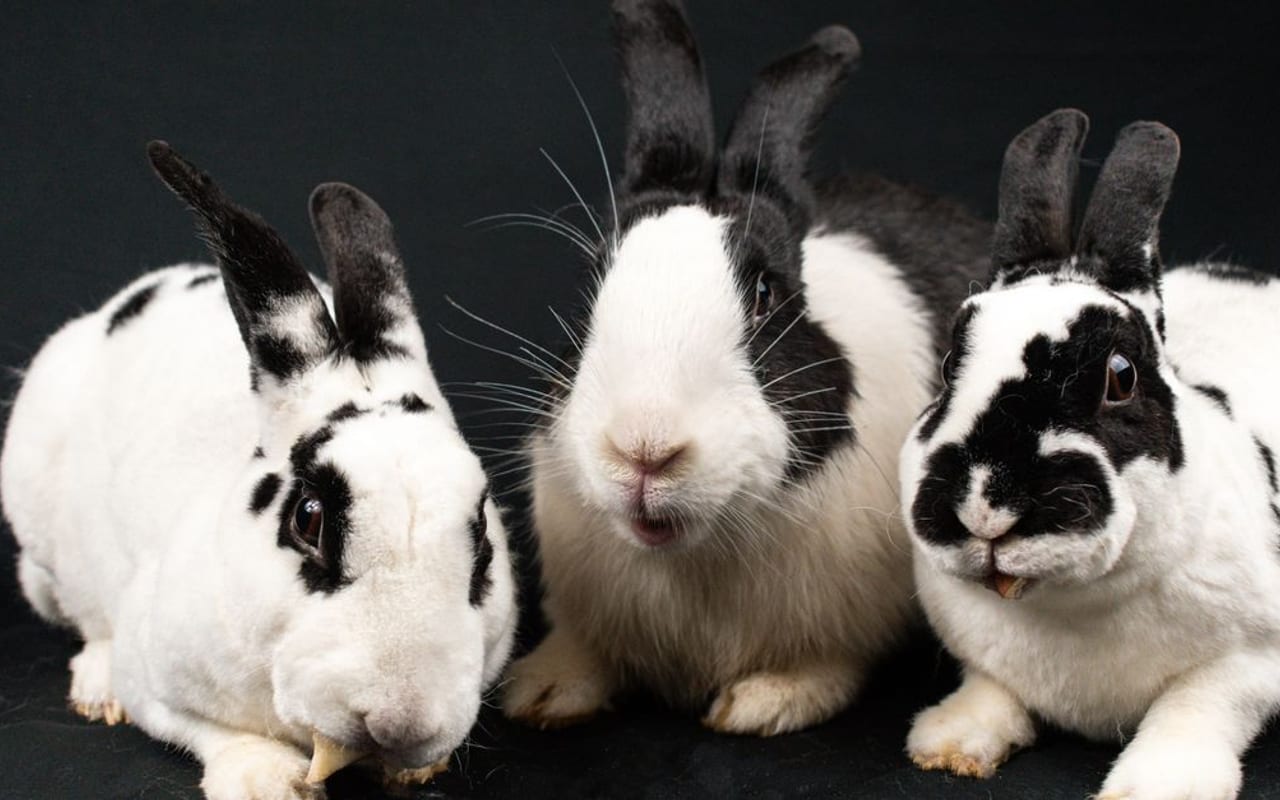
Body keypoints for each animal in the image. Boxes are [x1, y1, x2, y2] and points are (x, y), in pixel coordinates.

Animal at [0, 142, 517, 800]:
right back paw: (96, 689)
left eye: (483, 536)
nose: (400, 720)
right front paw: (266, 781)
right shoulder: (154, 678)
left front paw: (416, 768)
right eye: (307, 517)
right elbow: (209, 729)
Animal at [501, 0, 991, 736]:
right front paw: (539, 690)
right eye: (594, 286)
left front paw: (762, 704)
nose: (644, 451)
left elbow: (823, 666)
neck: (692, 552)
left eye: (765, 295)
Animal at [902, 108, 1280, 799]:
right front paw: (949, 743)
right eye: (947, 369)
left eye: (1121, 376)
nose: (984, 508)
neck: (1069, 603)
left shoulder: (1246, 662)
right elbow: (991, 688)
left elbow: (1195, 706)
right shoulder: (982, 654)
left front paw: (1159, 784)